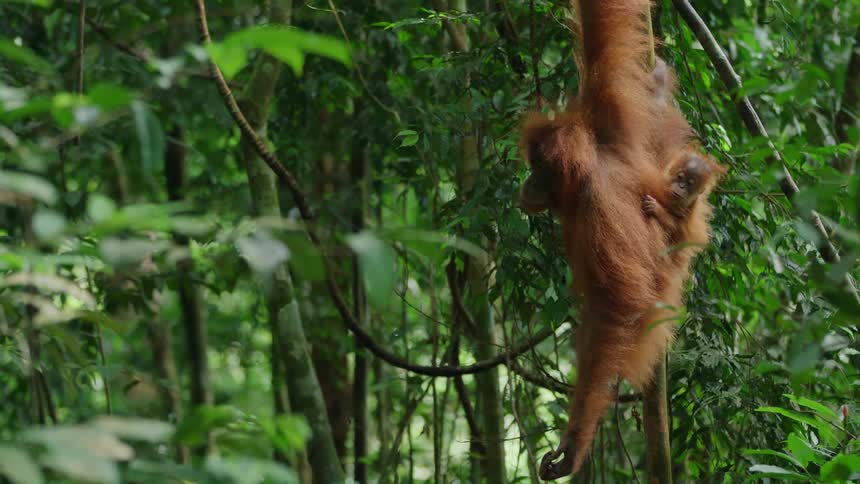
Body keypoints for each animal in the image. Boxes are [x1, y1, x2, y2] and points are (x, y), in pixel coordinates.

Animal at [517, 1, 723, 480]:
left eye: (540, 170)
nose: (526, 185)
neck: (589, 167)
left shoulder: (597, 210)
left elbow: (616, 307)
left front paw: (573, 444)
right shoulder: (609, 113)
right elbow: (603, 30)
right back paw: (660, 83)